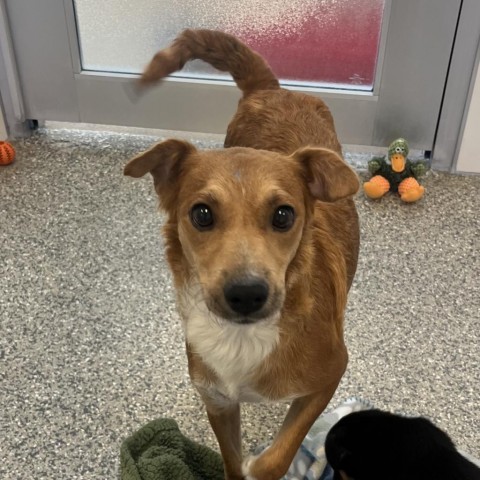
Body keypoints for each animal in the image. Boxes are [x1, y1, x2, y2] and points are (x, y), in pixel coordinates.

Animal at [125, 30, 358, 480]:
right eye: (201, 213)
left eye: (284, 215)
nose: (247, 293)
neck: (243, 338)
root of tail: (272, 89)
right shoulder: (217, 399)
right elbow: (231, 461)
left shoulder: (330, 373)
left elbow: (276, 457)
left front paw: (262, 464)